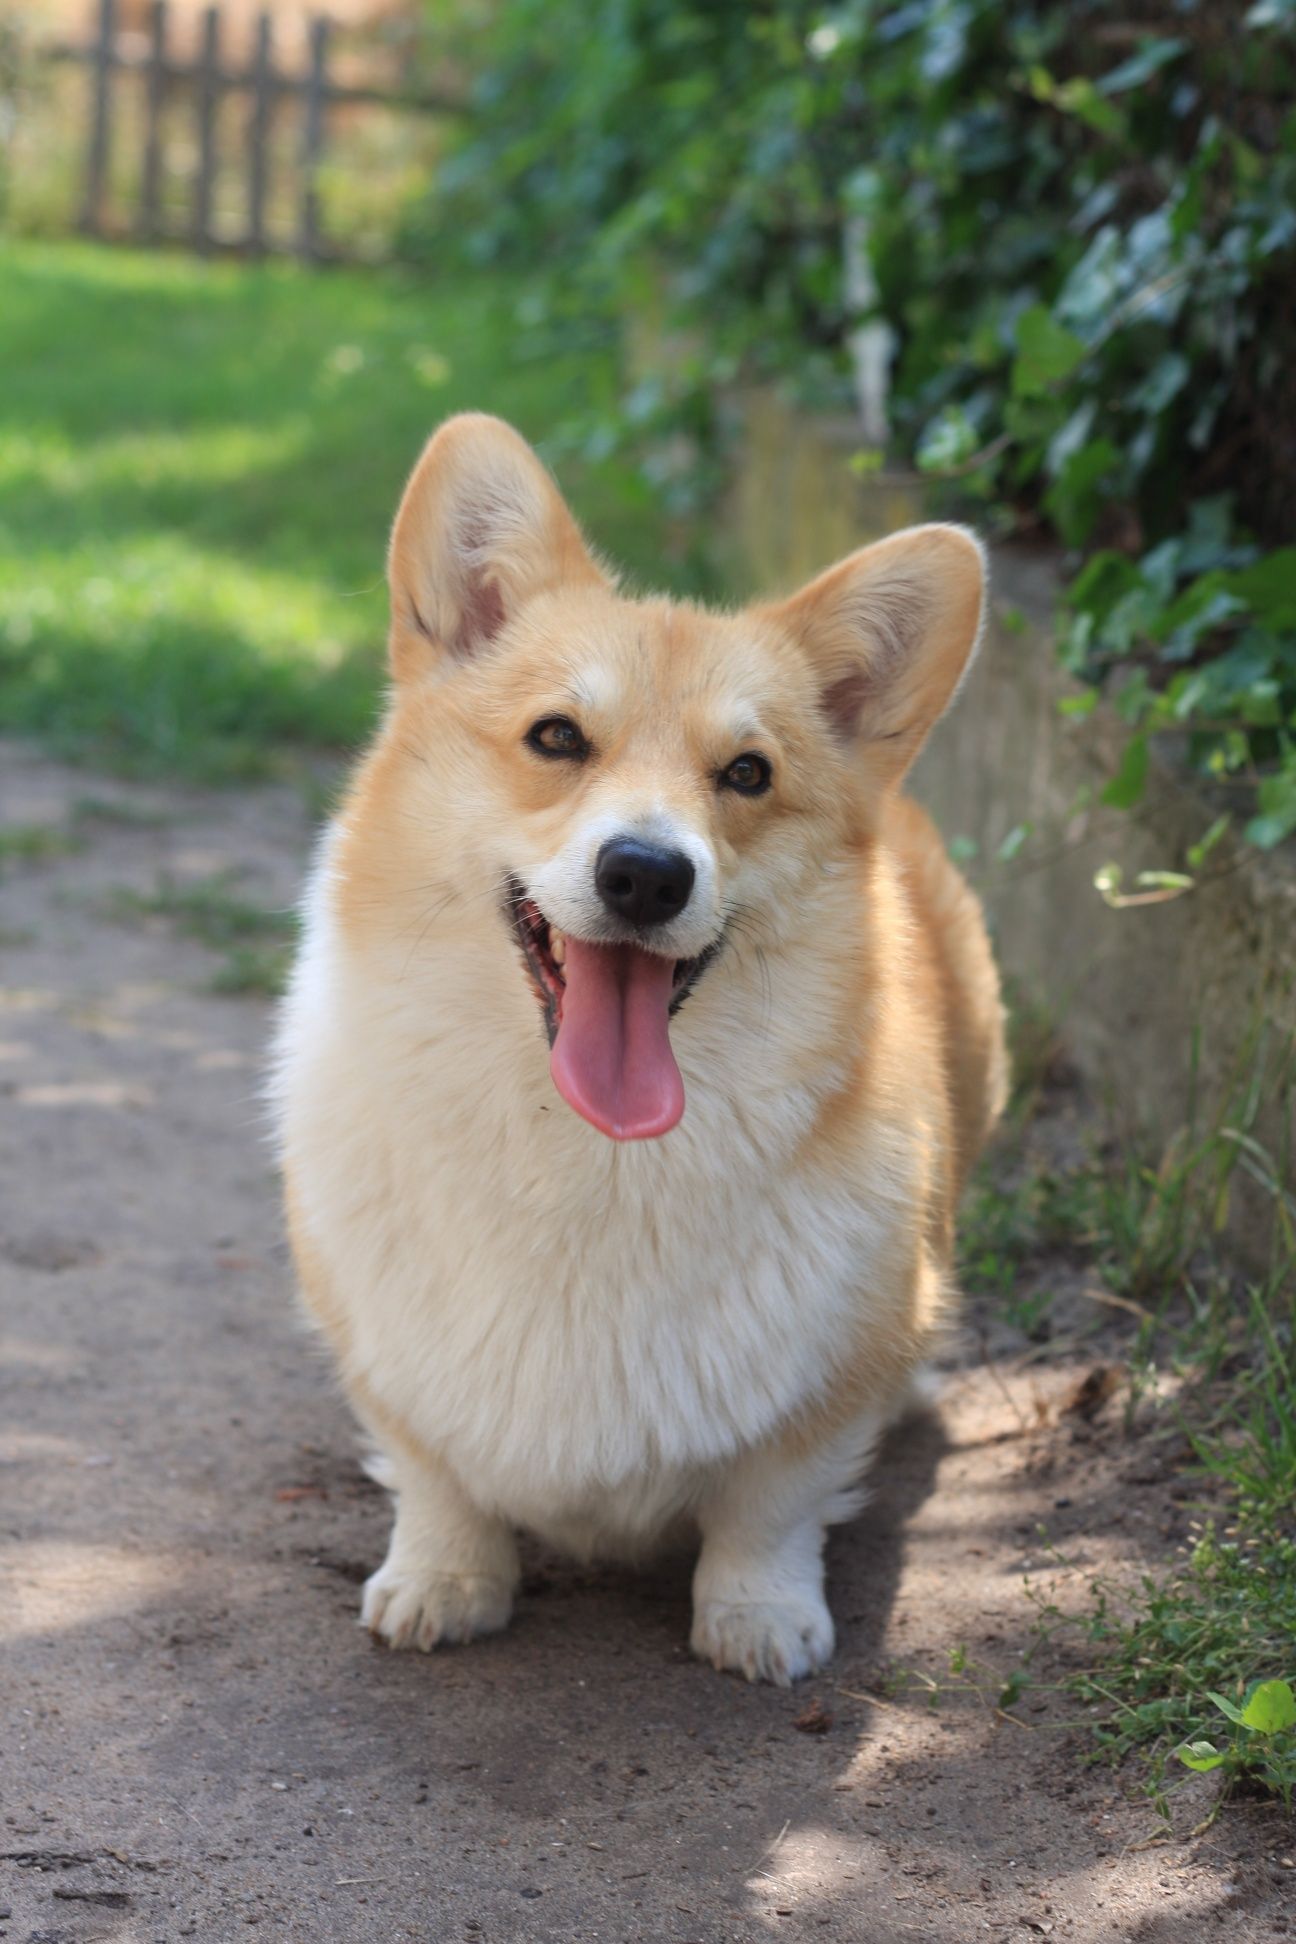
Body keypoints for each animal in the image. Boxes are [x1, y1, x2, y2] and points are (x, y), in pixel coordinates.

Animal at [272, 414, 1002, 1687]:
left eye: (748, 774)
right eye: (556, 738)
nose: (648, 875)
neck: (584, 1155)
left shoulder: (827, 1383)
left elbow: (774, 1501)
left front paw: (759, 1616)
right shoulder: (388, 1358)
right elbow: (435, 1473)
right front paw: (444, 1580)